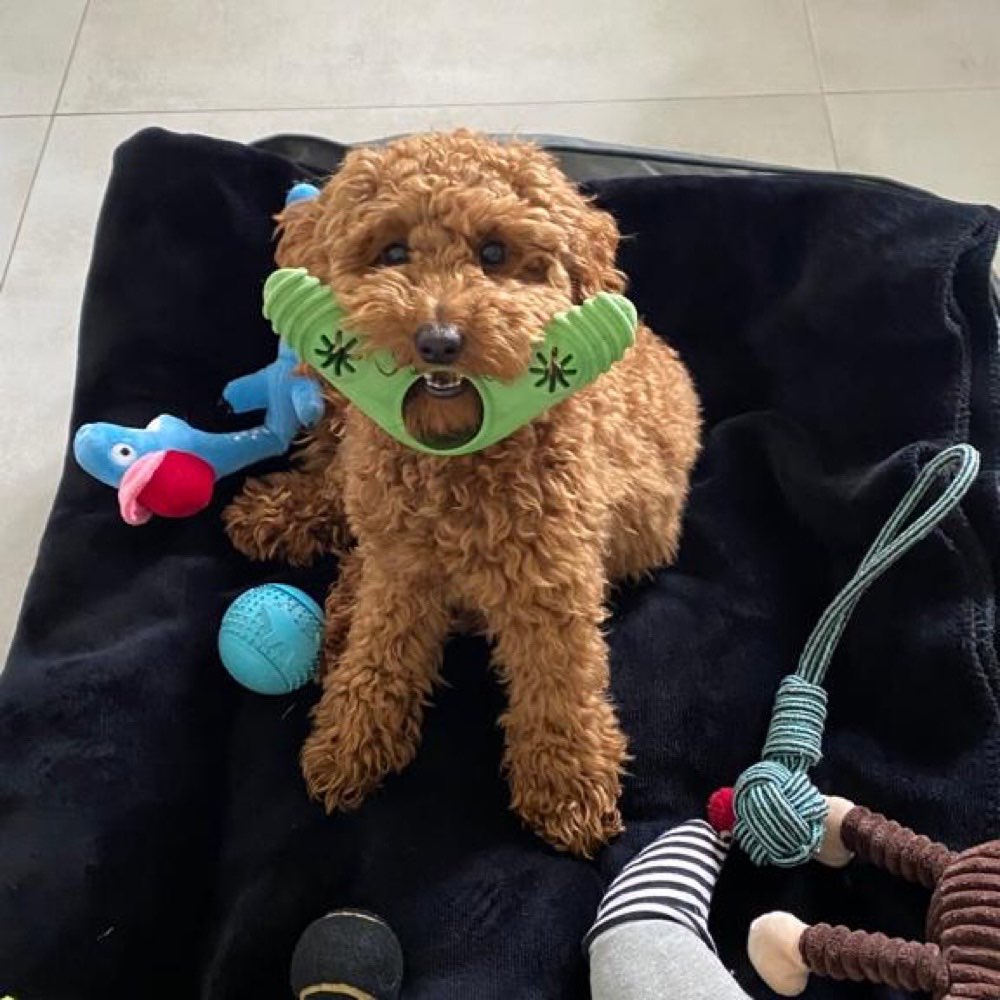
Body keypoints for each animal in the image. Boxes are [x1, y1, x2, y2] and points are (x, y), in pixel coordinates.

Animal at [224, 129, 700, 856]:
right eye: (394, 252)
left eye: (495, 253)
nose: (439, 340)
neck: (453, 461)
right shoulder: (402, 568)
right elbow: (381, 652)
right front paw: (352, 740)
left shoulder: (551, 585)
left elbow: (559, 685)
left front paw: (567, 788)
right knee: (340, 508)